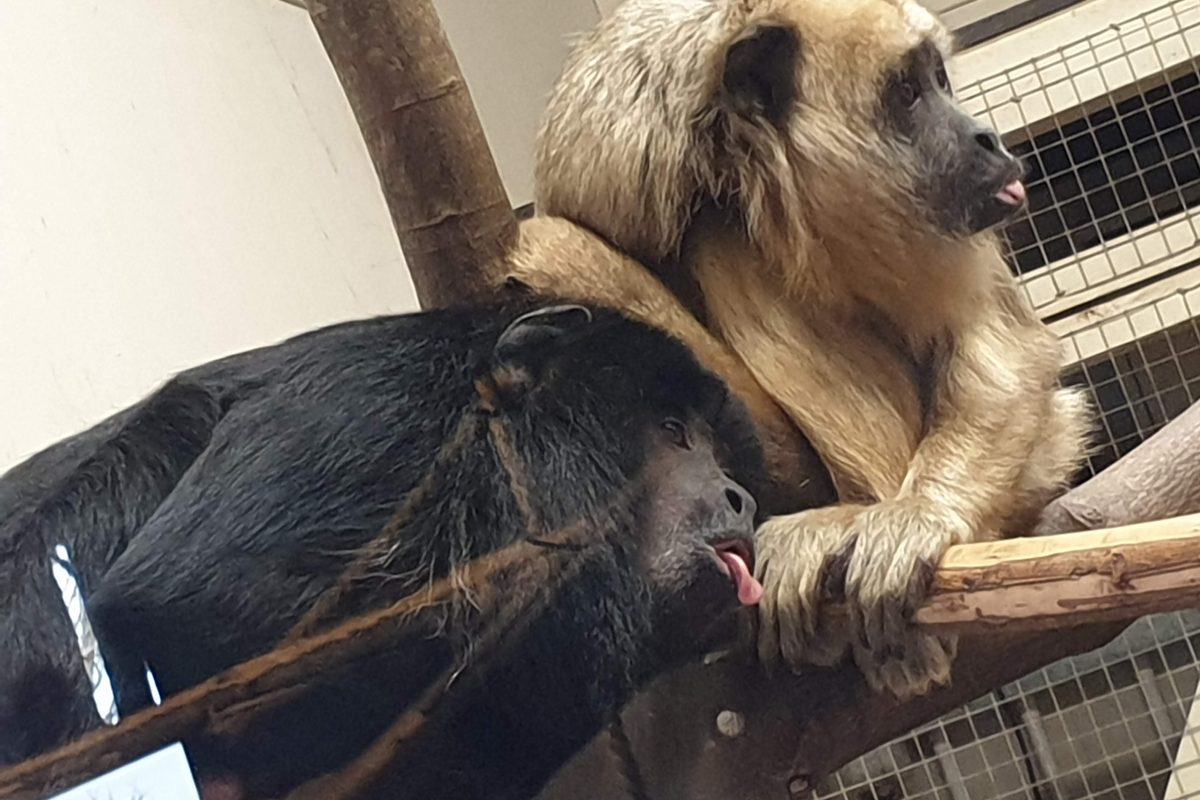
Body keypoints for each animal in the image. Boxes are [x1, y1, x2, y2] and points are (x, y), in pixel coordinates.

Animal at [506, 0, 1092, 698]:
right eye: (907, 92)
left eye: (939, 77)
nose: (986, 137)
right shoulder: (605, 151)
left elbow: (997, 337)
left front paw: (920, 510)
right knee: (703, 237)